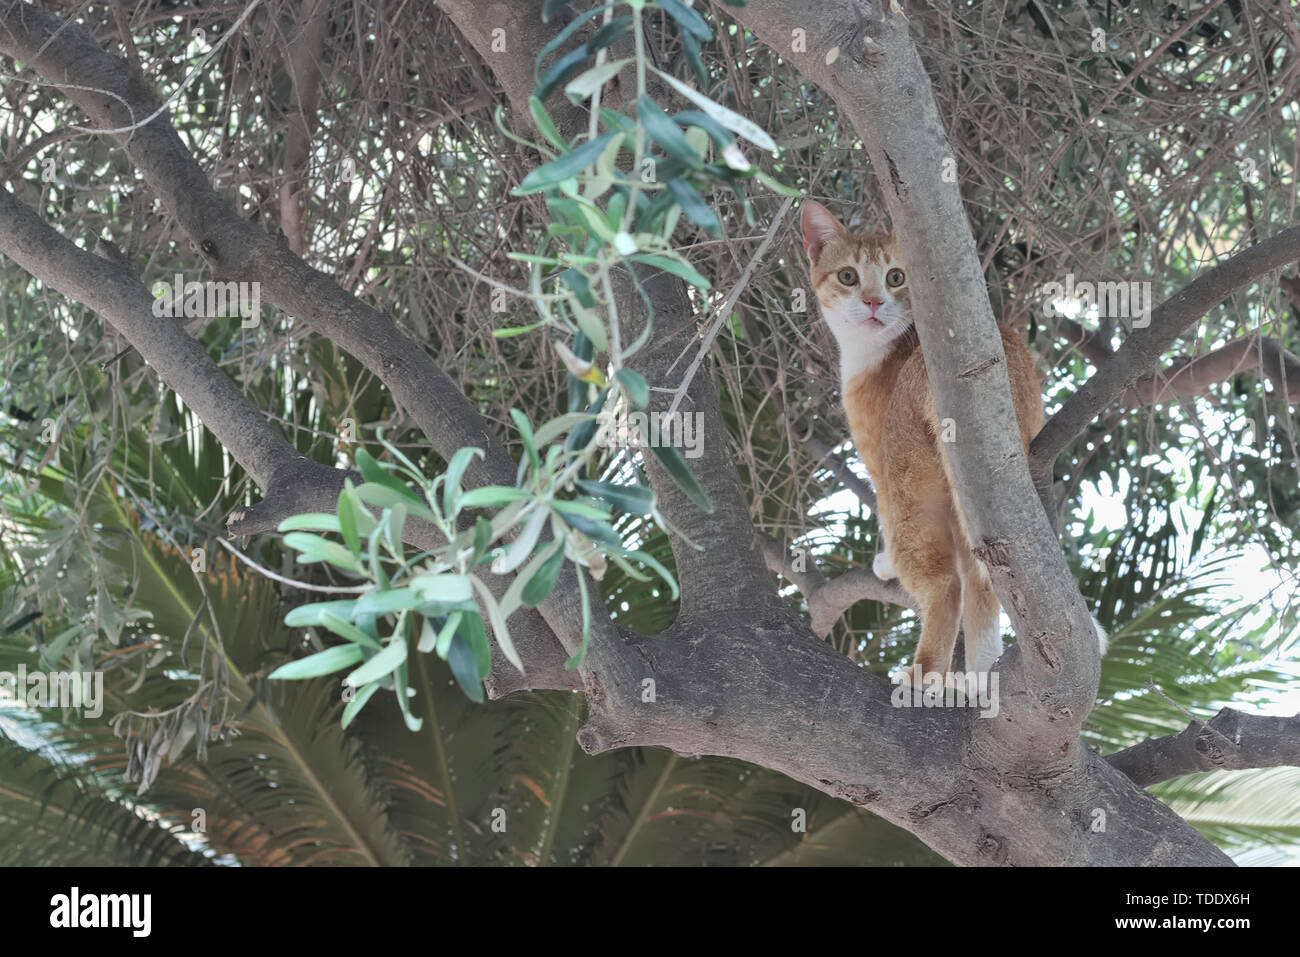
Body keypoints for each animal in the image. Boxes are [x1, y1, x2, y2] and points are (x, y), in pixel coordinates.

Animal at [800, 200, 1076, 681]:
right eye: (848, 276)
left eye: (896, 277)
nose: (873, 302)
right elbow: (982, 592)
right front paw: (980, 671)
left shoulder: (879, 468)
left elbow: (888, 523)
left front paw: (883, 563)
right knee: (980, 583)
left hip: (907, 482)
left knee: (946, 584)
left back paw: (922, 675)